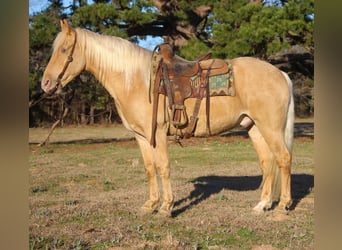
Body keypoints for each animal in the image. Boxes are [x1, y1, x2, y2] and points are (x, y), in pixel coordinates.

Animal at [41, 20, 294, 217]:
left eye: (64, 50)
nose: (45, 83)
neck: (137, 80)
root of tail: (280, 73)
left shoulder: (160, 133)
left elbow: (163, 167)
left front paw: (166, 207)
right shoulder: (142, 136)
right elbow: (149, 168)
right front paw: (150, 204)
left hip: (270, 128)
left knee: (283, 158)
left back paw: (283, 205)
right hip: (254, 127)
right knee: (267, 161)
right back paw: (262, 204)